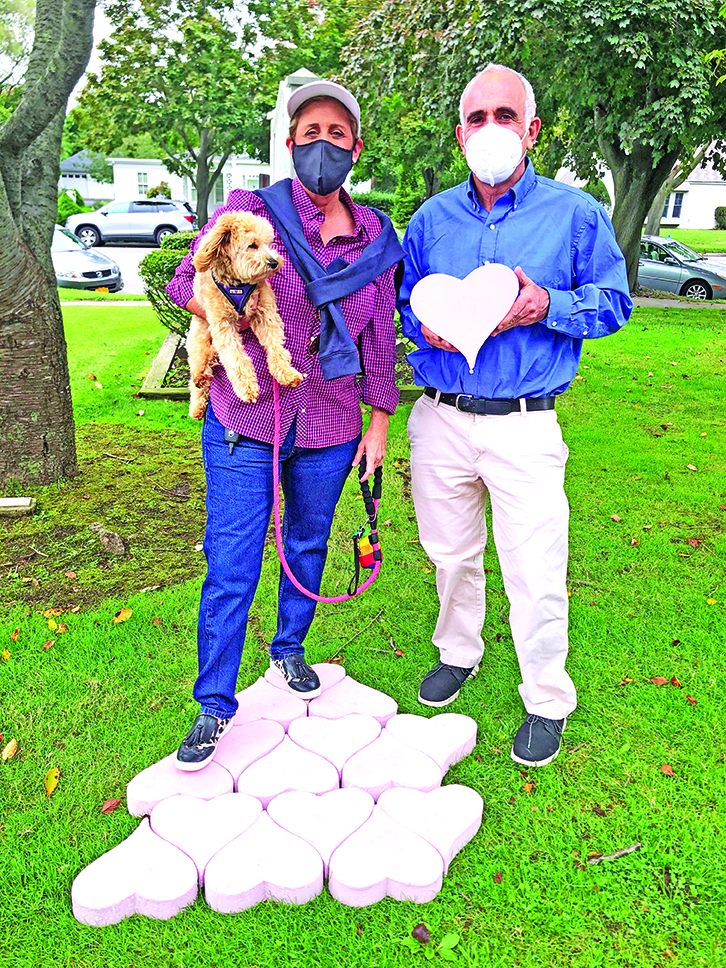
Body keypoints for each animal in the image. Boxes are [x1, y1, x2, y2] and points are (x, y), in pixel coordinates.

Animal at [188, 212, 304, 416]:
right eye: (252, 245)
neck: (239, 284)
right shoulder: (222, 323)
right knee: (196, 364)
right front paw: (247, 388)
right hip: (198, 332)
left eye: (269, 243)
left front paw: (286, 372)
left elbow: (276, 346)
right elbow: (235, 357)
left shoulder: (266, 313)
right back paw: (198, 392)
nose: (274, 262)